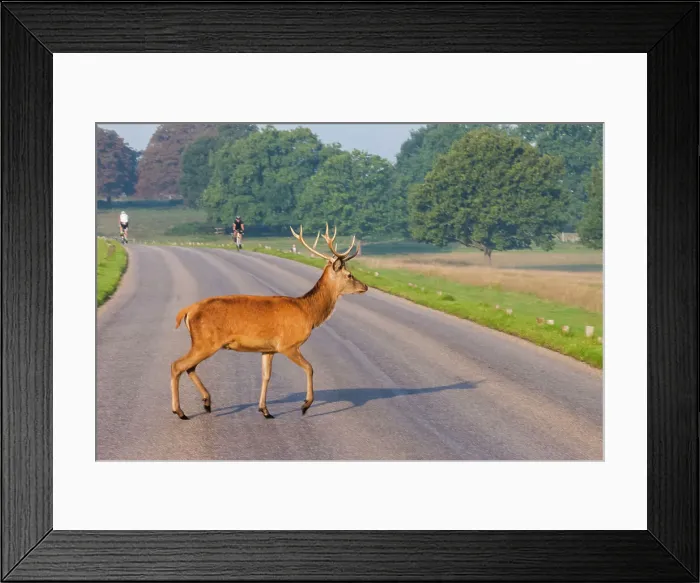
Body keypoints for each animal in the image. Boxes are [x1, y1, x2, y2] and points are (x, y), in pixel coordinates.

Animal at [170, 223, 368, 420]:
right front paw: (305, 405)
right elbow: (310, 368)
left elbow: (266, 376)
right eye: (349, 275)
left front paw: (264, 410)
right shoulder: (288, 344)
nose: (365, 286)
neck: (308, 313)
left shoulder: (268, 349)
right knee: (177, 365)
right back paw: (180, 411)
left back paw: (206, 402)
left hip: (203, 342)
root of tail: (187, 311)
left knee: (189, 368)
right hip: (206, 341)